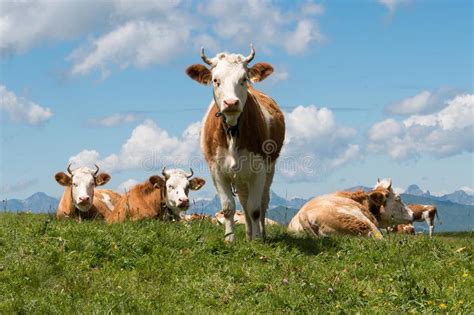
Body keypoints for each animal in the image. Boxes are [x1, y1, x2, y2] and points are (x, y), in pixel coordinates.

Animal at [187, 45, 286, 242]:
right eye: (215, 80)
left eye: (243, 79)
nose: (231, 102)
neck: (233, 130)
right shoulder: (216, 170)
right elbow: (228, 207)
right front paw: (229, 239)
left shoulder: (259, 169)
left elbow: (255, 208)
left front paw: (258, 240)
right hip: (240, 177)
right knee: (243, 202)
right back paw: (248, 234)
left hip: (268, 169)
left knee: (262, 202)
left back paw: (260, 234)